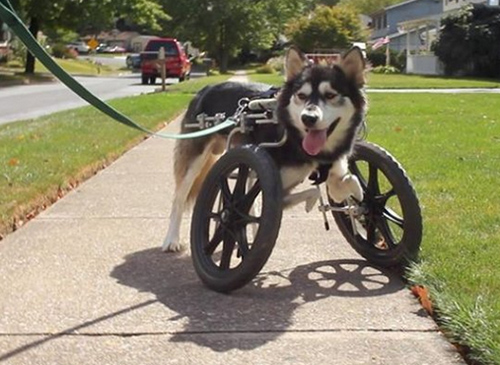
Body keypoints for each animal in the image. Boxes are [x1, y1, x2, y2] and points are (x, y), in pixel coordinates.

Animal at [162, 45, 366, 252]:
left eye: (330, 95)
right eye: (301, 95)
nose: (308, 118)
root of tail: (205, 89)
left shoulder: (334, 166)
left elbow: (348, 181)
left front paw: (354, 200)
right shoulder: (277, 187)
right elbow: (314, 192)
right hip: (195, 161)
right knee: (178, 199)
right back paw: (172, 239)